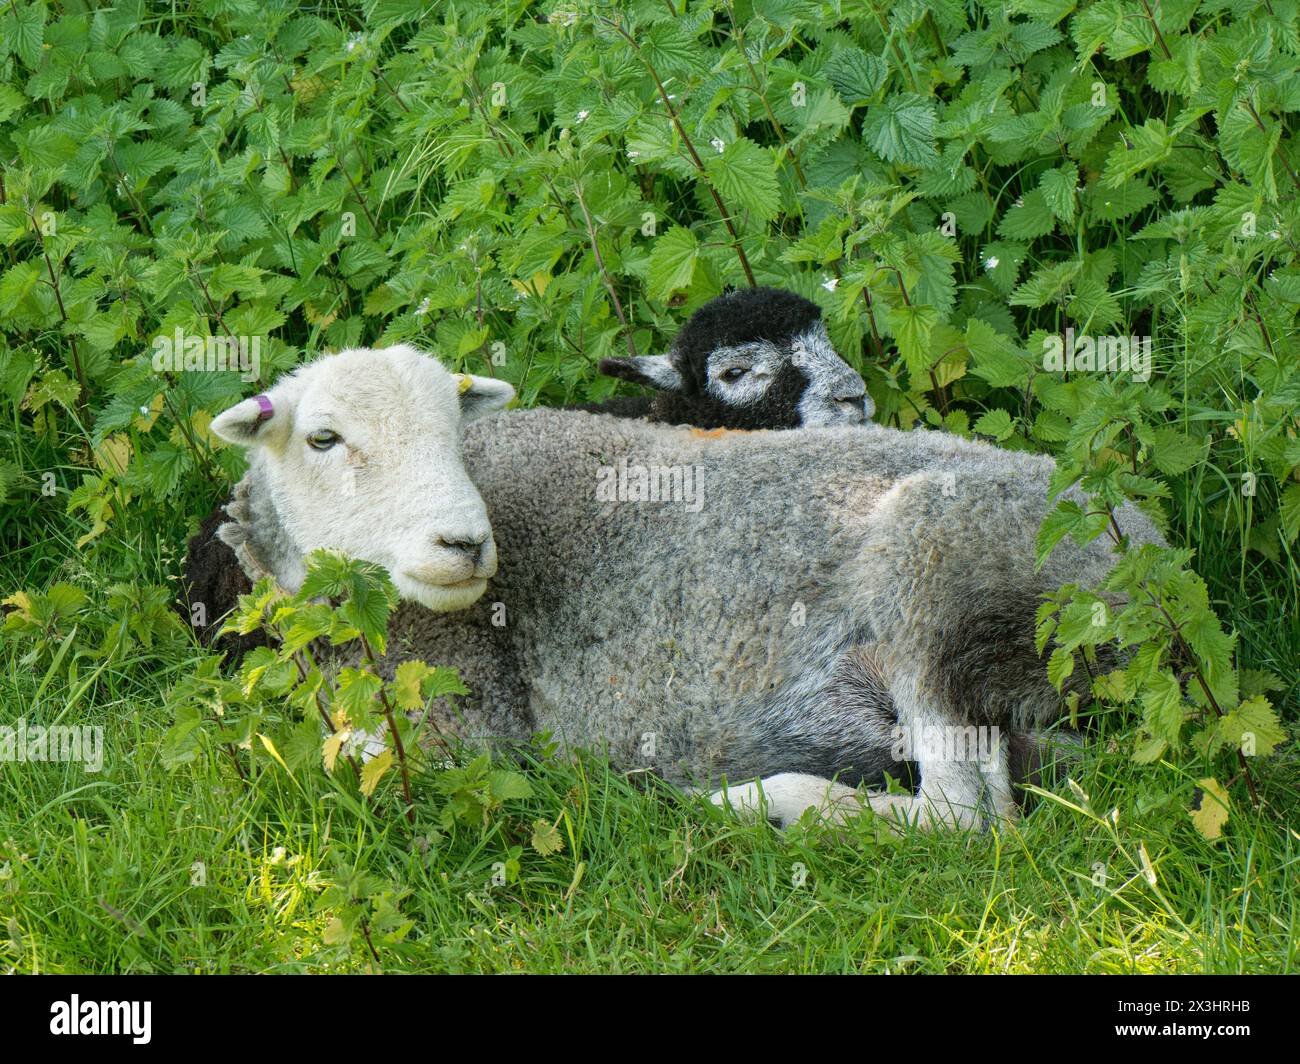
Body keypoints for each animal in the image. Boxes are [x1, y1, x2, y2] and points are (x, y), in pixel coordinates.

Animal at [207, 344, 1162, 832]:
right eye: (324, 439)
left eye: (453, 428)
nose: (465, 543)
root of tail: (1150, 555)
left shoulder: (469, 730)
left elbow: (348, 759)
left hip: (932, 566)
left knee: (972, 816)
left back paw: (757, 803)